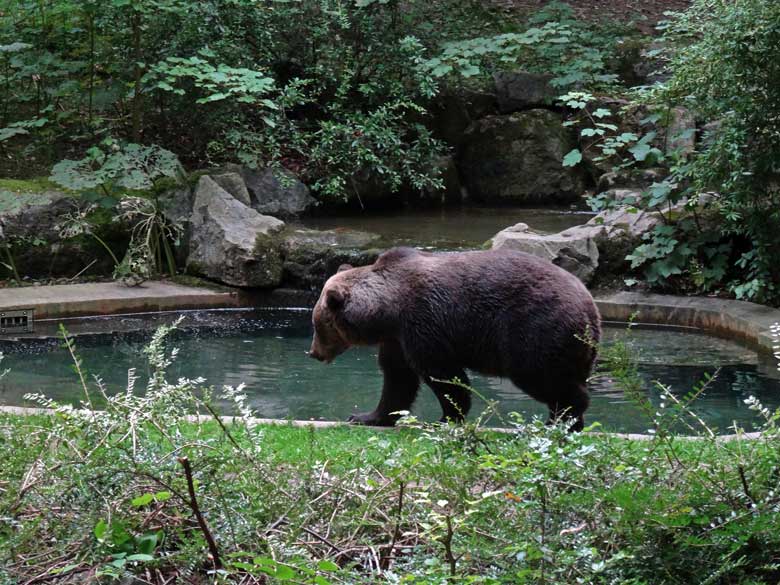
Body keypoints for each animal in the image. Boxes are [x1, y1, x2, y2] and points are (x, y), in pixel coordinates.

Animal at [308, 246, 600, 428]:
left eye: (317, 326)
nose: (313, 353)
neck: (387, 310)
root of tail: (590, 307)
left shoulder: (425, 322)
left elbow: (443, 375)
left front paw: (445, 418)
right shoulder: (398, 339)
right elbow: (398, 379)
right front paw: (366, 416)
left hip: (535, 327)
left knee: (542, 375)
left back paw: (561, 420)